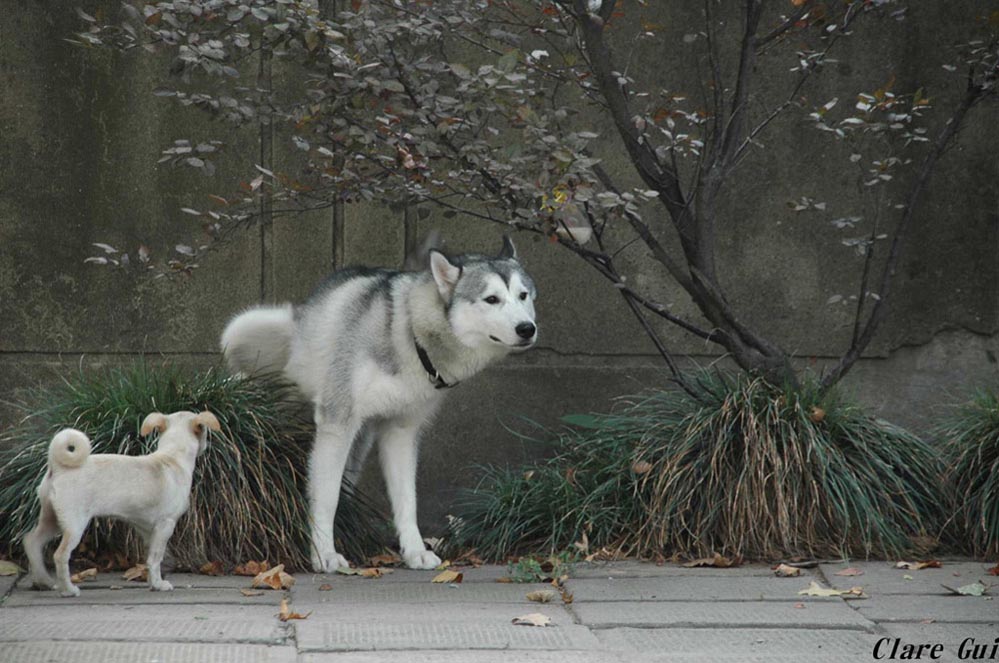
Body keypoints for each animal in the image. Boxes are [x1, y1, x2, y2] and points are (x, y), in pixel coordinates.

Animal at [23, 410, 221, 596]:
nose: (206, 445)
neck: (172, 457)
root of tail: (58, 466)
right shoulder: (165, 525)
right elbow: (156, 558)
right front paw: (159, 584)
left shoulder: (147, 530)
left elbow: (151, 558)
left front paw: (152, 582)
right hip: (74, 524)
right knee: (60, 555)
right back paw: (68, 590)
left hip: (52, 520)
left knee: (32, 541)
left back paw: (43, 581)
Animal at [223, 237, 540, 572]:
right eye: (491, 299)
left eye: (523, 295)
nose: (527, 328)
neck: (409, 333)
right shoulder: (337, 423)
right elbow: (326, 497)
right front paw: (324, 555)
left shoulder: (400, 431)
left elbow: (407, 501)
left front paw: (415, 551)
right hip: (246, 331)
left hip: (358, 442)